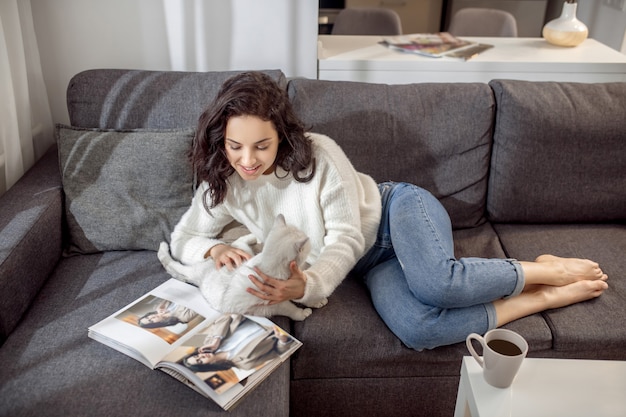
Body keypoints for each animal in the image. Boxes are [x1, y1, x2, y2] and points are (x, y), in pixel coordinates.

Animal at [156, 213, 326, 320]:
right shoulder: (274, 304)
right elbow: (290, 309)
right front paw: (302, 313)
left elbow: (302, 292)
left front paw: (314, 301)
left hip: (246, 254)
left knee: (239, 242)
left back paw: (253, 237)